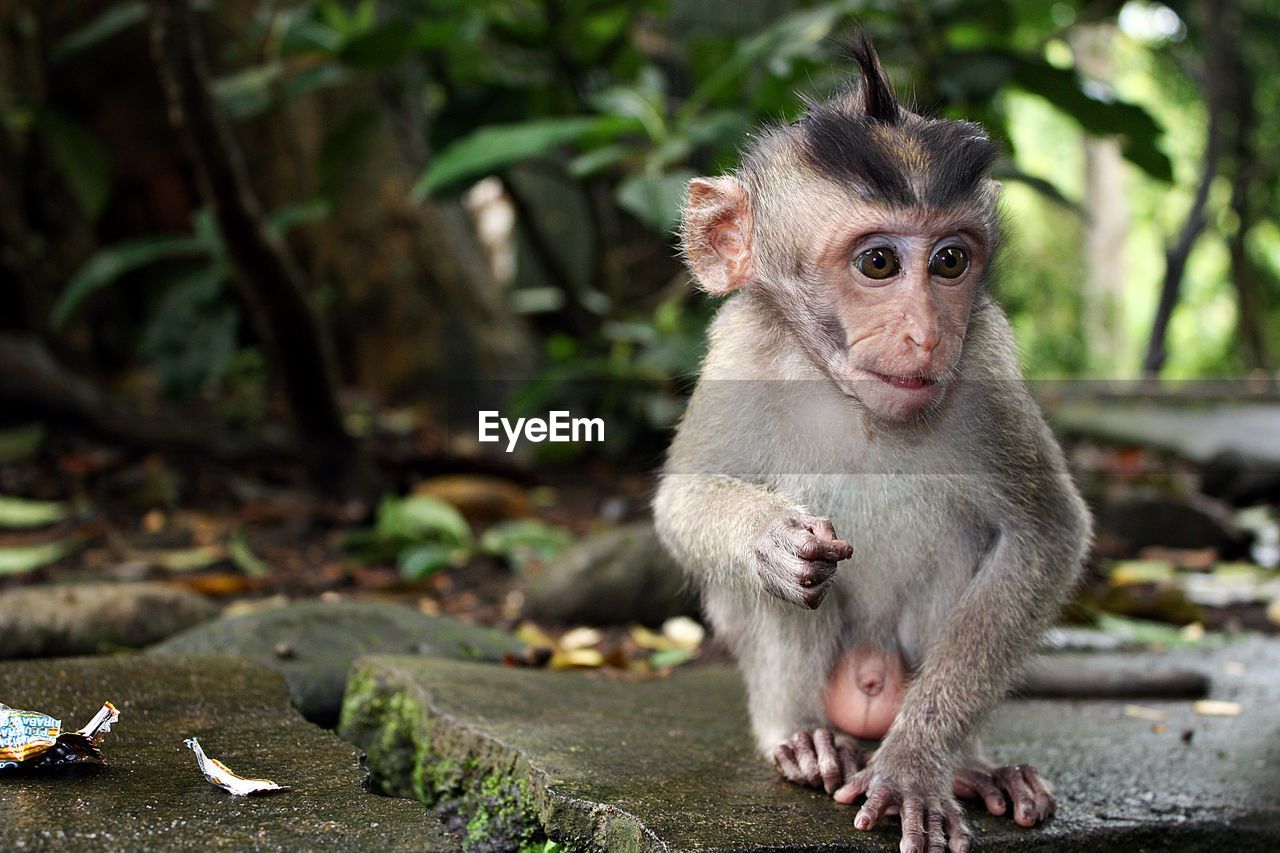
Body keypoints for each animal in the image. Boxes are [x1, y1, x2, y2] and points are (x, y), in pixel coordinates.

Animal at [660, 34, 1090, 850]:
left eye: (951, 260)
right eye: (879, 262)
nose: (925, 334)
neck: (850, 399)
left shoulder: (985, 370)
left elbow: (1047, 532)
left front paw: (916, 765)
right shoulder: (736, 350)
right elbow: (683, 501)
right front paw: (772, 538)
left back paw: (971, 767)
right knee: (790, 597)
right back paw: (803, 738)